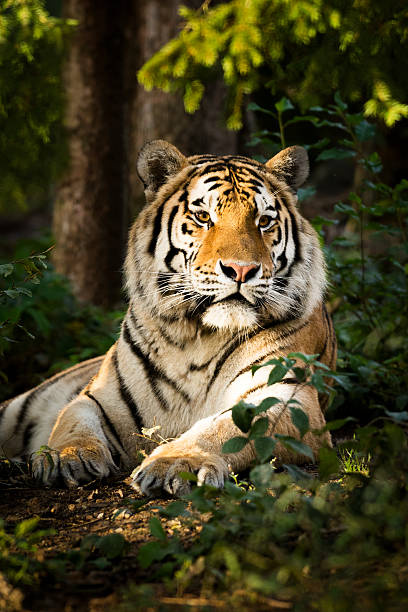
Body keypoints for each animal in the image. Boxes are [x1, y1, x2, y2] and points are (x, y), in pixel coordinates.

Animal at [0, 140, 334, 498]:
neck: (198, 336)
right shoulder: (99, 396)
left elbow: (223, 429)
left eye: (264, 221)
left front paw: (176, 463)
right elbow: (72, 418)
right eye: (203, 217)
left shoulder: (288, 397)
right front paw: (67, 456)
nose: (241, 270)